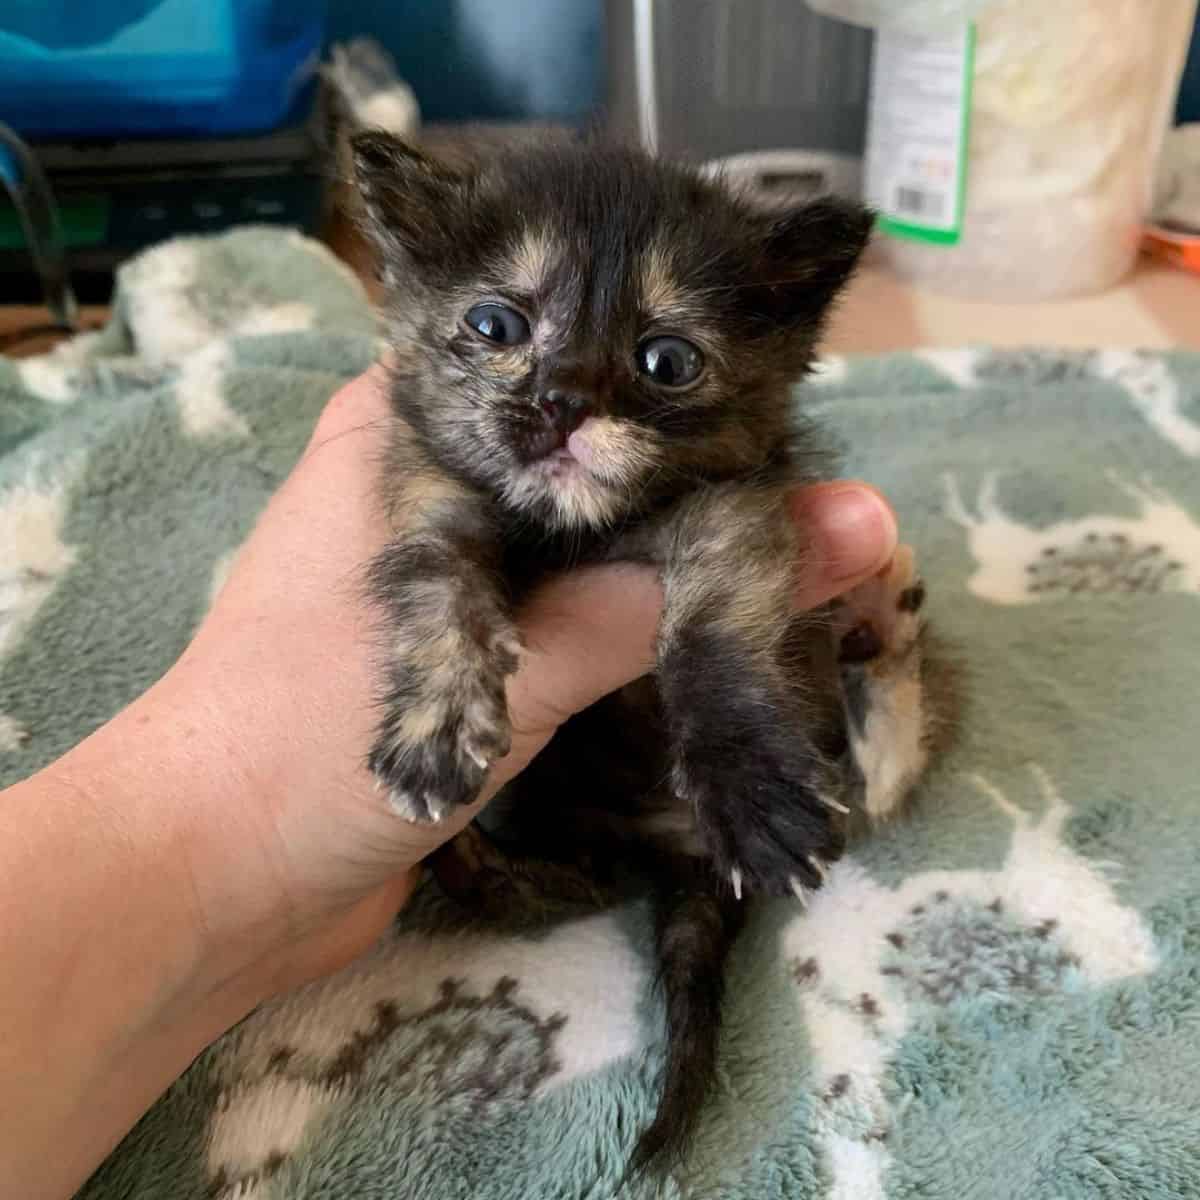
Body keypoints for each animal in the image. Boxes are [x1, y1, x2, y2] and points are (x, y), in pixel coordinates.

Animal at [350, 133, 955, 1171]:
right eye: (494, 323)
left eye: (666, 360)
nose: (562, 402)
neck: (578, 529)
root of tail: (676, 857)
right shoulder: (425, 483)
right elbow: (435, 578)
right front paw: (435, 722)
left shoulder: (737, 511)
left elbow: (708, 633)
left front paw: (747, 785)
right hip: (568, 828)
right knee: (537, 894)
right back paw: (466, 861)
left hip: (825, 755)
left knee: (880, 783)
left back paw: (882, 613)